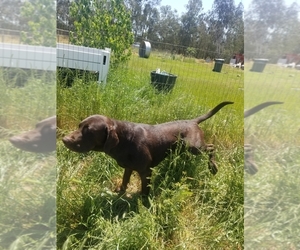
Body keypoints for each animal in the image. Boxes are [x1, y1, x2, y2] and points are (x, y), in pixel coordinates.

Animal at [62, 101, 233, 195]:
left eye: (89, 131)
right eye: (79, 126)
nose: (64, 139)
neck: (125, 140)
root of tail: (192, 121)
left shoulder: (146, 171)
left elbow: (145, 190)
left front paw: (143, 204)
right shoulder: (128, 168)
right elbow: (124, 181)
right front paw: (120, 192)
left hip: (194, 147)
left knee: (211, 147)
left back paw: (213, 167)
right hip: (184, 149)